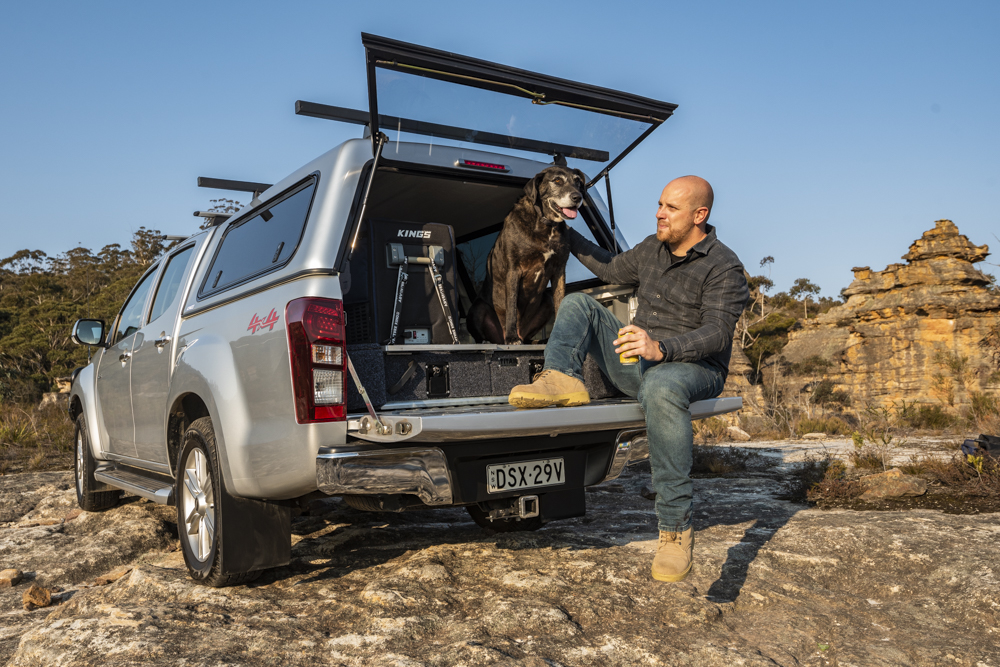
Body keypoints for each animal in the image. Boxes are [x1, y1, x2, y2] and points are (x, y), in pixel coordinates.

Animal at [468, 166, 584, 344]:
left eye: (577, 181)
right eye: (557, 180)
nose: (578, 197)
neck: (545, 225)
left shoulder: (559, 270)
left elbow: (560, 301)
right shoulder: (513, 270)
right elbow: (511, 306)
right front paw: (511, 337)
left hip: (546, 301)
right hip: (478, 308)